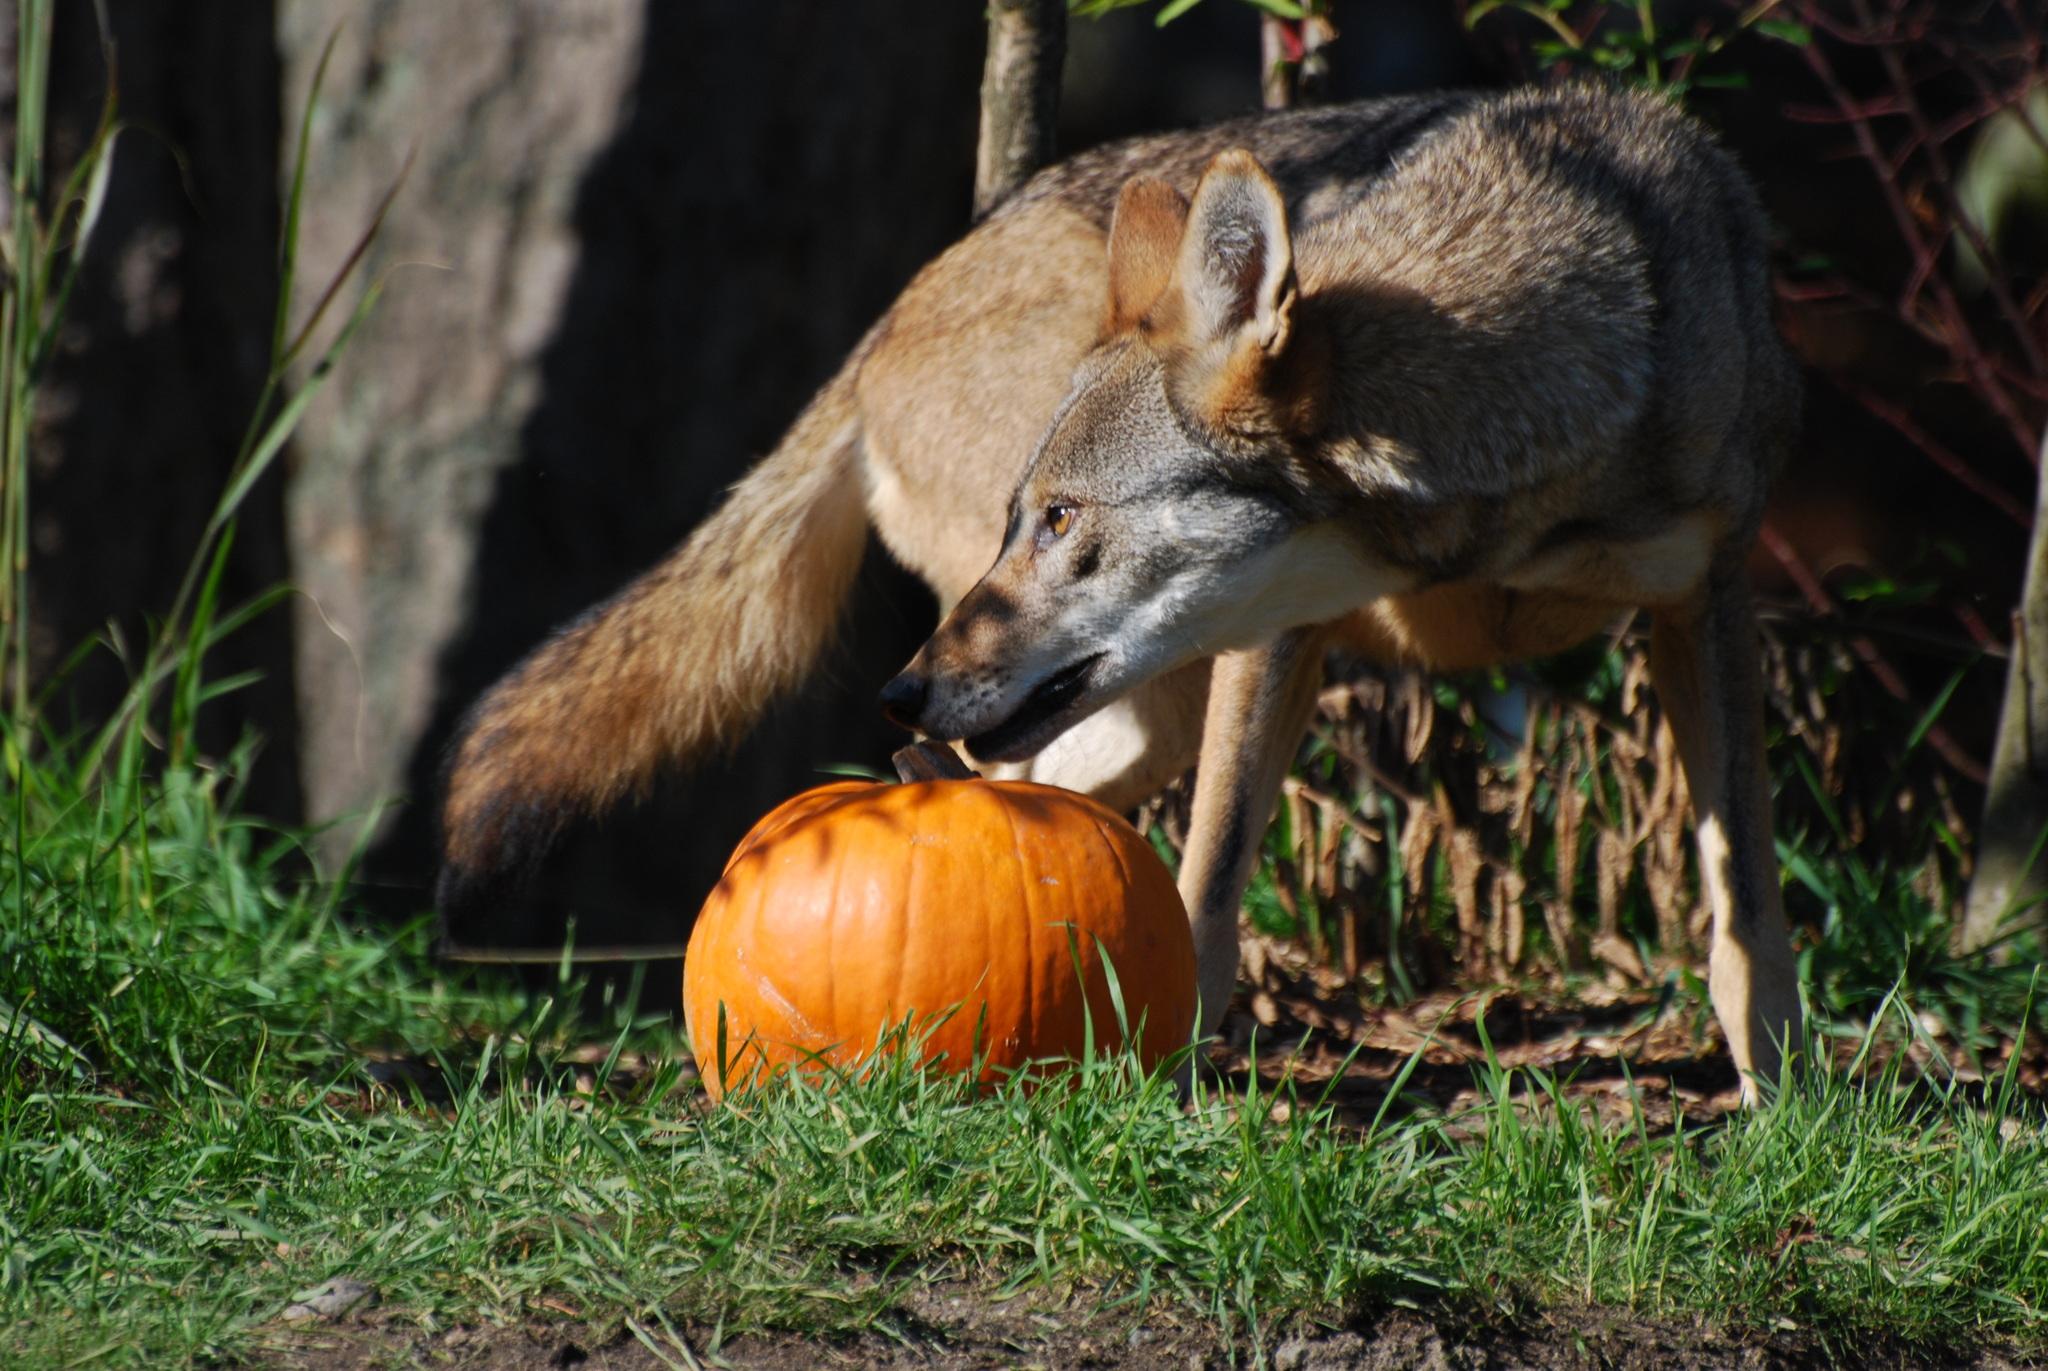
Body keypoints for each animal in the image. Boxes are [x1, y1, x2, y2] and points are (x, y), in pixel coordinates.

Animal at [440, 84, 1804, 1100]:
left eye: (1061, 520)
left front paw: (1785, 1102)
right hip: (1126, 701)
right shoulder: (1280, 640)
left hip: (1128, 721)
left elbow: (1743, 899)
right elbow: (1205, 889)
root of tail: (896, 308)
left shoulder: (1705, 601)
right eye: (1026, 519)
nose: (901, 692)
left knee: (1000, 794)